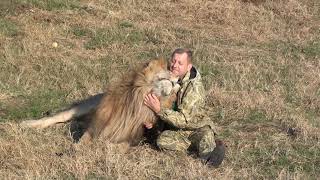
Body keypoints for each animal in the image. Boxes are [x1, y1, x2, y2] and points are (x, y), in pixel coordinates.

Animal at [20, 58, 180, 146]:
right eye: (169, 70)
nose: (178, 80)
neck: (140, 100)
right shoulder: (97, 124)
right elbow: (82, 141)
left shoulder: (130, 137)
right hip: (85, 107)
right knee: (57, 117)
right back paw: (26, 124)